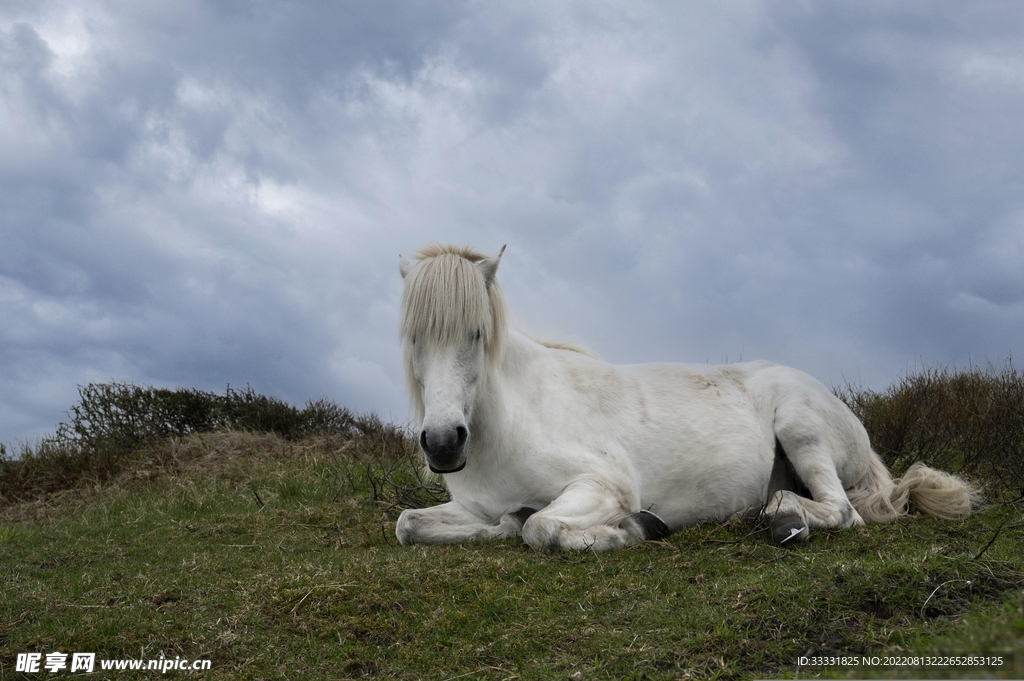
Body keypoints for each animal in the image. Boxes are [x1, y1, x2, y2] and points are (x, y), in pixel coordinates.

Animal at [395, 243, 977, 551]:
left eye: (476, 334)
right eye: (412, 337)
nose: (443, 442)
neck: (514, 419)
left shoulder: (599, 486)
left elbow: (539, 527)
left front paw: (628, 531)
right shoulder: (472, 506)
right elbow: (410, 523)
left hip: (800, 427)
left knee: (840, 511)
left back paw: (782, 518)